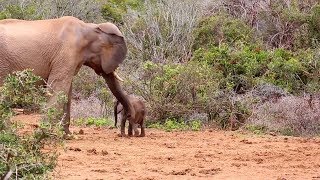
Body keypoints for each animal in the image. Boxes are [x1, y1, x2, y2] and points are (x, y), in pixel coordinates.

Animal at [0, 16, 133, 134]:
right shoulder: (67, 52)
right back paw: (7, 132)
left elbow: (67, 92)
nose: (127, 117)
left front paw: (67, 135)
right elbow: (58, 88)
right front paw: (44, 132)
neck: (90, 27)